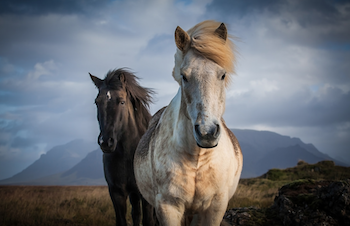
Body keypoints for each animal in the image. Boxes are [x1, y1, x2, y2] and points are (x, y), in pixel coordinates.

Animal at [90, 69, 156, 226]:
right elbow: (122, 220)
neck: (128, 154)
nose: (105, 142)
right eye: (97, 102)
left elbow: (148, 221)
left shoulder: (146, 196)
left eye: (121, 101)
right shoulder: (116, 192)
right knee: (136, 214)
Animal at [134, 20, 243, 225]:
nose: (207, 133)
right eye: (184, 76)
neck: (197, 159)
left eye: (222, 75)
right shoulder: (168, 207)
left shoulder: (215, 207)